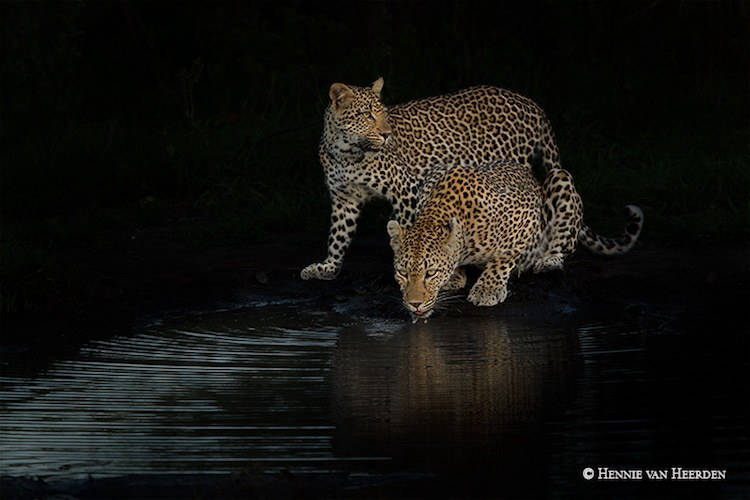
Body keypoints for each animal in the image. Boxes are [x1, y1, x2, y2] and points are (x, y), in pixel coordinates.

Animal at [300, 78, 564, 282]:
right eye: (366, 115)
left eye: (383, 114)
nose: (387, 135)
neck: (346, 153)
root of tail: (531, 103)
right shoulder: (345, 199)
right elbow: (338, 236)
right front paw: (328, 267)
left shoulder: (404, 189)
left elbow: (410, 227)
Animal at [388, 160, 648, 320]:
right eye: (402, 273)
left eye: (430, 273)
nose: (414, 304)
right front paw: (455, 276)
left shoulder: (526, 220)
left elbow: (503, 257)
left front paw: (487, 289)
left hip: (560, 178)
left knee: (564, 245)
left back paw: (548, 262)